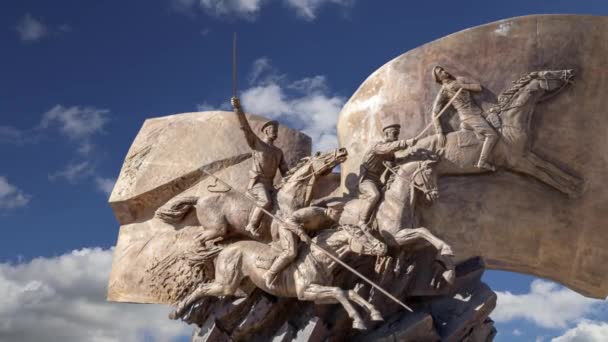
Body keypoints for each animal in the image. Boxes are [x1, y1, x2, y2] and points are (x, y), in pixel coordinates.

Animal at [154, 148, 350, 242]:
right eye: (320, 154)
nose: (342, 150)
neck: (289, 198)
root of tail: (199, 199)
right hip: (216, 228)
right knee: (199, 239)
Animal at [169, 226, 388, 330]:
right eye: (360, 233)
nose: (383, 247)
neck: (319, 258)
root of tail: (225, 248)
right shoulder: (308, 292)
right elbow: (340, 292)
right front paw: (359, 321)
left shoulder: (319, 296)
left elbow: (348, 292)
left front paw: (375, 313)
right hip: (225, 284)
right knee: (202, 289)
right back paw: (177, 312)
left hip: (239, 286)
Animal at [416, 69, 580, 198]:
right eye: (548, 73)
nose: (570, 72)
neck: (509, 124)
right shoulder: (517, 162)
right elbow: (543, 174)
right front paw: (569, 191)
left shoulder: (526, 154)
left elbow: (547, 165)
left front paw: (574, 181)